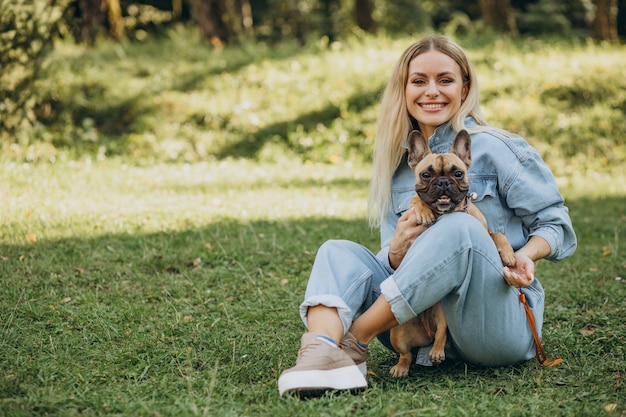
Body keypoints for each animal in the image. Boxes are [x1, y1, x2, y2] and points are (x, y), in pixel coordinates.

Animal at [388, 128, 516, 376]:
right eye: (426, 175)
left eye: (458, 173)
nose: (443, 182)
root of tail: (426, 332)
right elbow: (416, 200)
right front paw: (423, 211)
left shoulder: (487, 232)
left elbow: (499, 235)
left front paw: (508, 254)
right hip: (397, 332)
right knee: (406, 354)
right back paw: (401, 367)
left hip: (441, 316)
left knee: (441, 332)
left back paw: (437, 351)